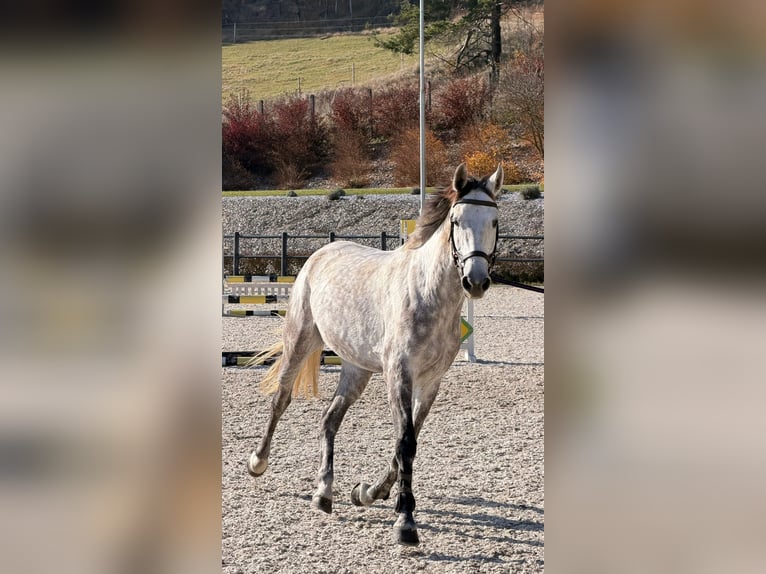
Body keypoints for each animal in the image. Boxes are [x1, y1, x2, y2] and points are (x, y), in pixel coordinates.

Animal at [247, 163, 503, 546]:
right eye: (456, 221)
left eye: (494, 221)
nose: (476, 281)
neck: (428, 293)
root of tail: (322, 252)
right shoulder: (399, 375)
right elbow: (406, 442)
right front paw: (406, 523)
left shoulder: (431, 382)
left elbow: (409, 440)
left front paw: (368, 493)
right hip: (300, 341)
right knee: (281, 400)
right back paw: (258, 462)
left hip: (357, 369)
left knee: (329, 419)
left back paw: (324, 493)